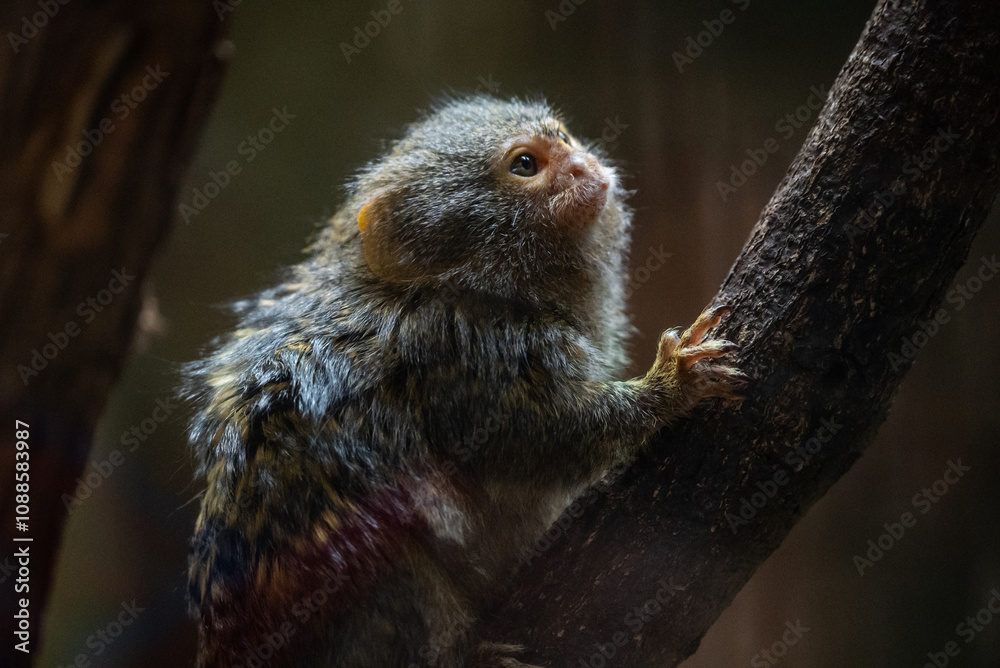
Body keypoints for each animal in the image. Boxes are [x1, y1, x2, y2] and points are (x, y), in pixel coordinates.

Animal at [184, 95, 747, 667]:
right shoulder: (466, 351)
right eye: (526, 165)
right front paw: (670, 387)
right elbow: (542, 438)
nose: (581, 164)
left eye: (563, 138)